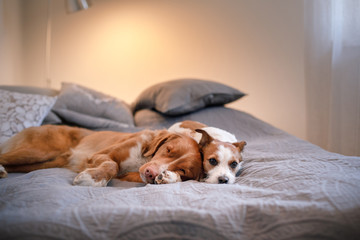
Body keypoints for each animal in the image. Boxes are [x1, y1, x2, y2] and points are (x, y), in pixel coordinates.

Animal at [0, 124, 202, 187]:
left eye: (183, 170)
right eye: (168, 150)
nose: (151, 173)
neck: (142, 159)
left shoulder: (130, 175)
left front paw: (168, 177)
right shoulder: (100, 154)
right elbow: (112, 165)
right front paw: (92, 178)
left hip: (41, 162)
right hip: (38, 152)